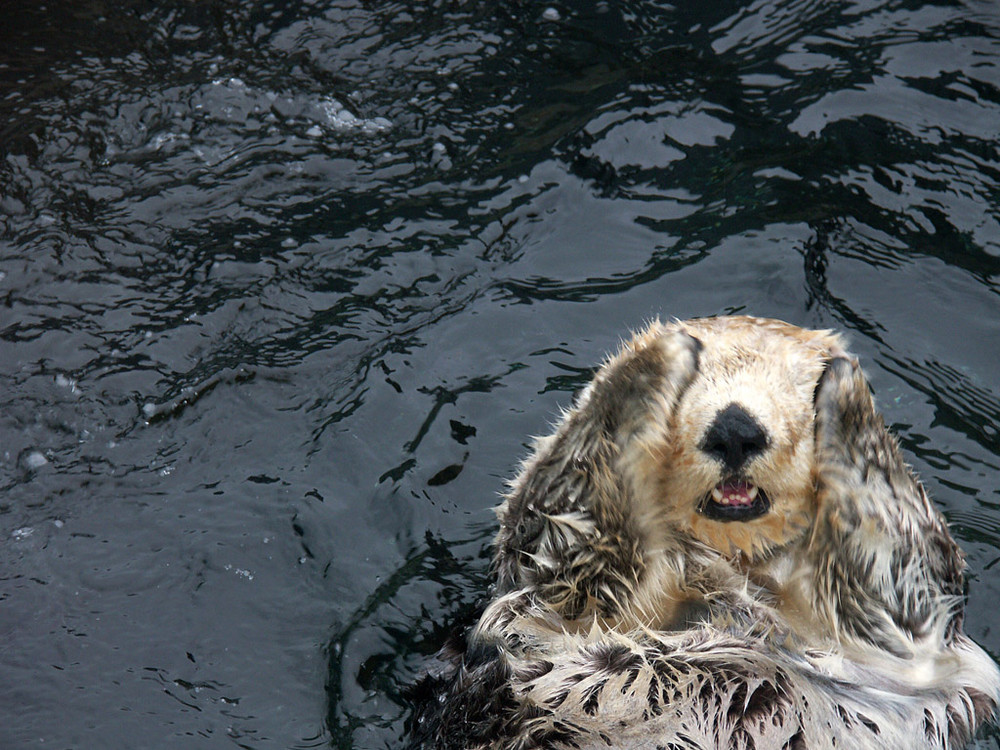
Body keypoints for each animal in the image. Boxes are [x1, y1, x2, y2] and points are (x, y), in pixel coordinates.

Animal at [408, 318, 1000, 750]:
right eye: (692, 391)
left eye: (794, 386)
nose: (735, 427)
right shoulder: (552, 597)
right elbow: (565, 527)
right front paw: (658, 355)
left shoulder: (901, 652)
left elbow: (902, 572)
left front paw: (844, 386)